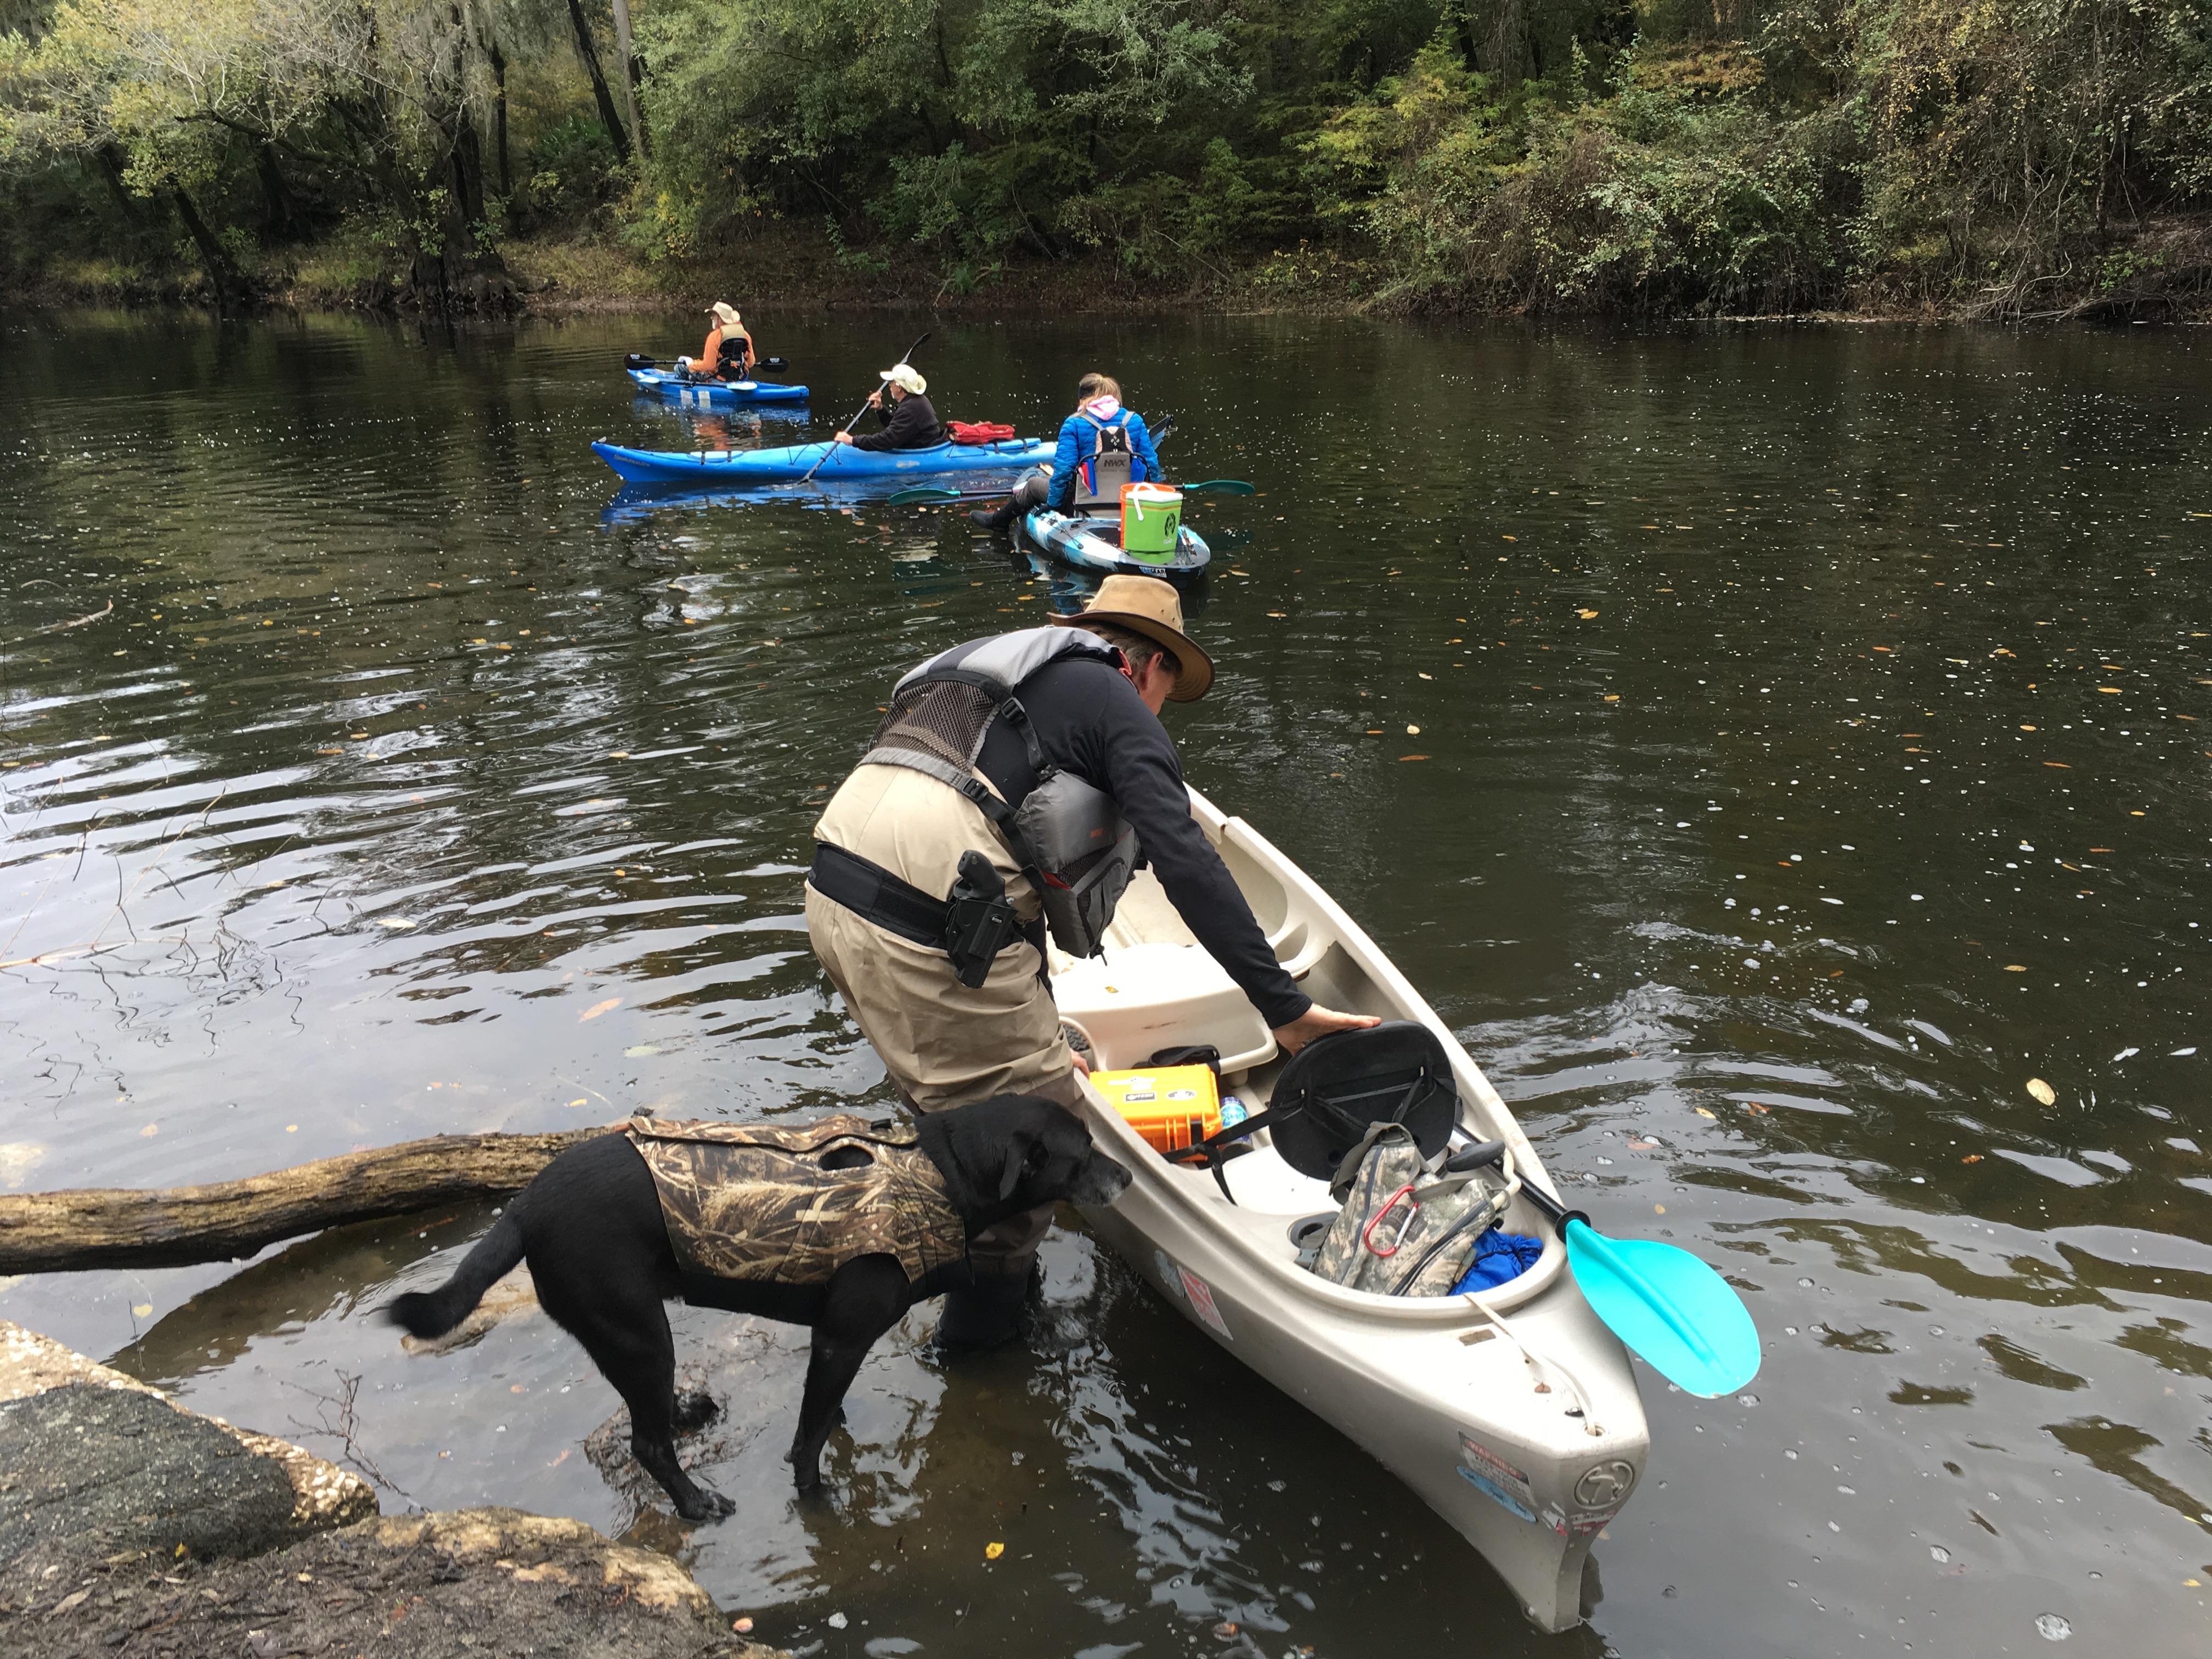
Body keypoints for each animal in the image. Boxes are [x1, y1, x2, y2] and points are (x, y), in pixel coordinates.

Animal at [382, 1097, 1132, 1531]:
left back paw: (686, 1412)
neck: (939, 1173)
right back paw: (697, 1505)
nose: (1128, 1174)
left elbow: (826, 1413)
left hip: (624, 1333)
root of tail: (523, 1208)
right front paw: (816, 1497)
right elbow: (808, 1438)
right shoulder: (841, 1338)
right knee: (648, 1443)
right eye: (1083, 1155)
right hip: (639, 1329)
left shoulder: (833, 1343)